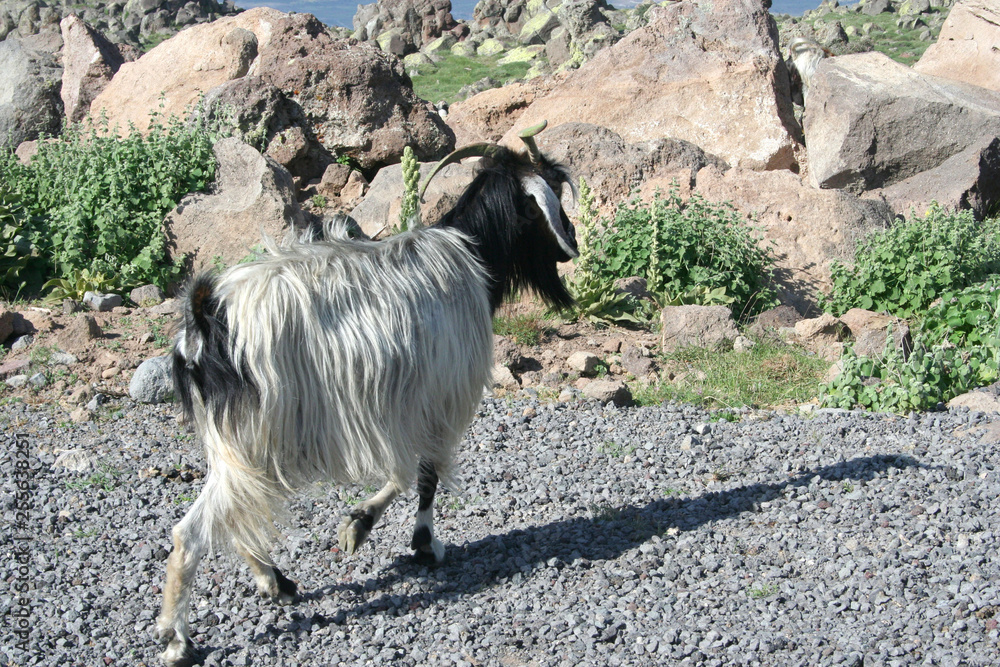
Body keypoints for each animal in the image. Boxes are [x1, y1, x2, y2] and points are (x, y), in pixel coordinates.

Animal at [154, 121, 578, 666]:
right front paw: (422, 543)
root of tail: (206, 321)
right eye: (550, 196)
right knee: (193, 532)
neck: (474, 255)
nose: (575, 242)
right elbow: (424, 473)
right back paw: (177, 639)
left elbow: (407, 470)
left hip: (236, 443)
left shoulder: (403, 403)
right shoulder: (437, 398)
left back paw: (275, 583)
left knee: (232, 515)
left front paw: (358, 521)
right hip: (256, 435)